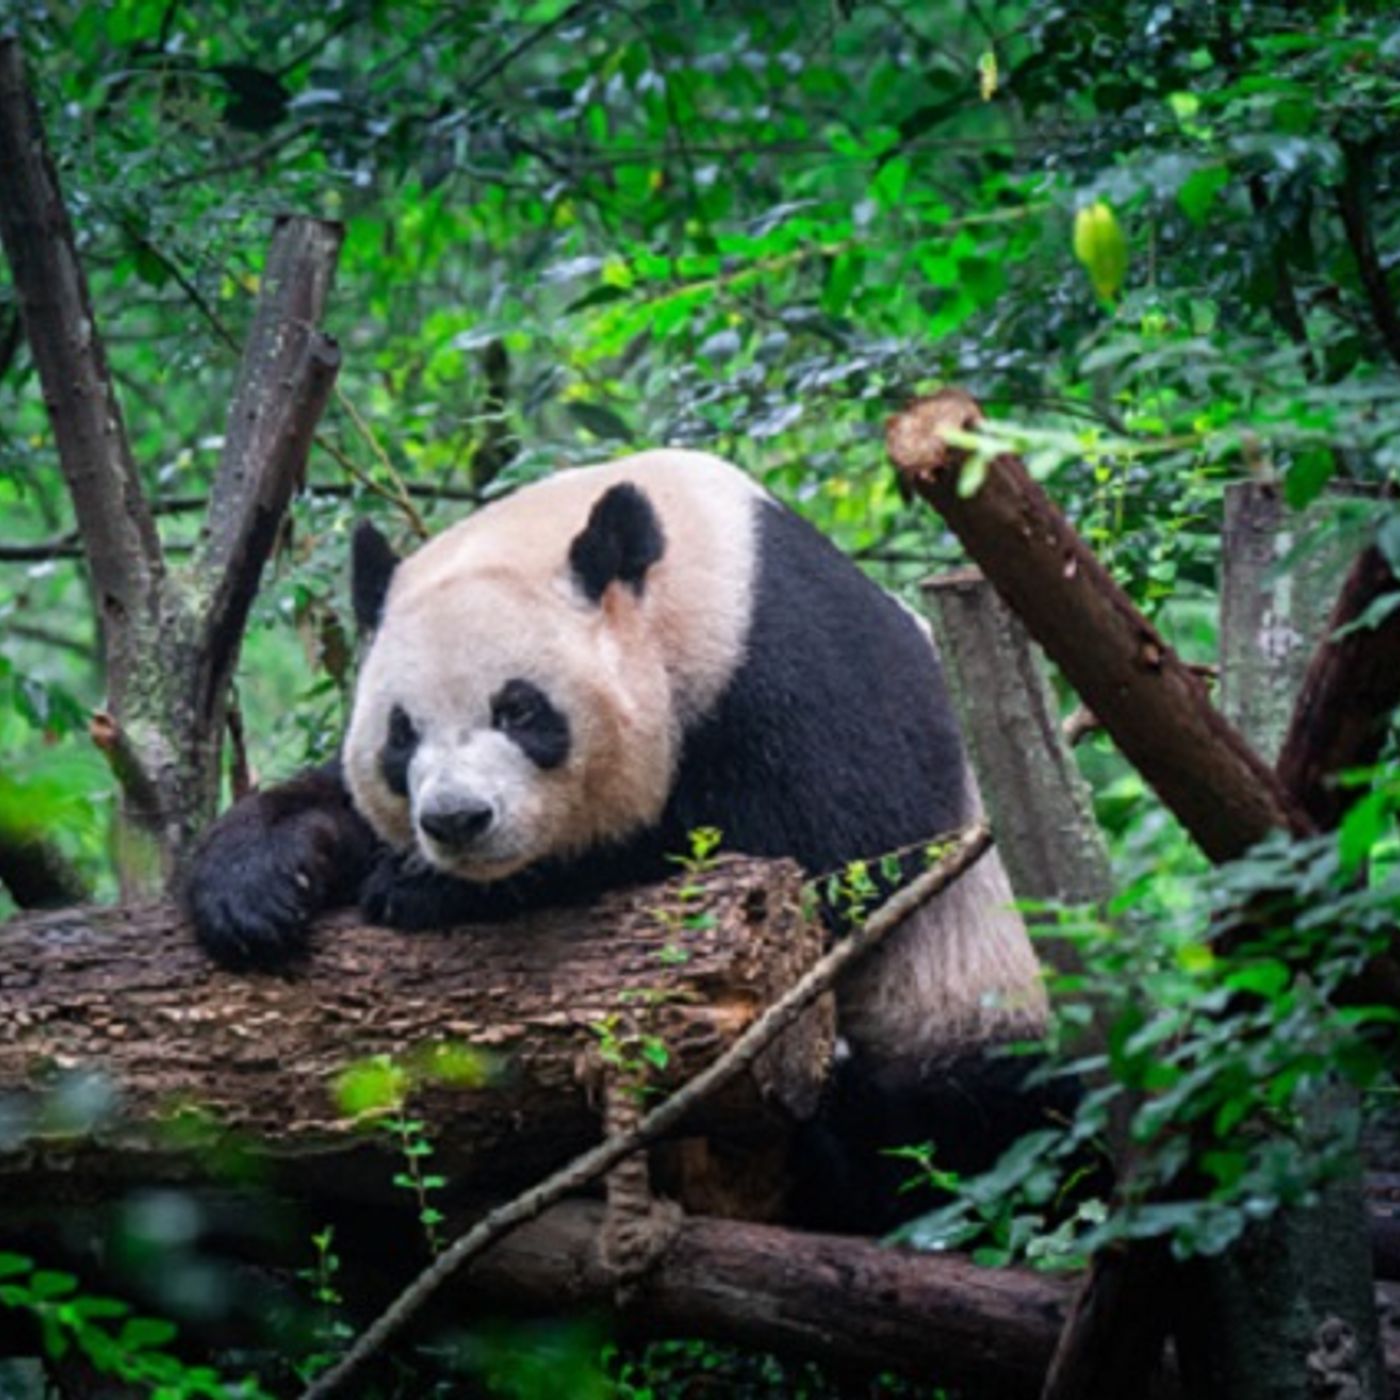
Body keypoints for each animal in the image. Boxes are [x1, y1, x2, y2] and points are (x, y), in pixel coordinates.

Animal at [184, 449, 1051, 1230]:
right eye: (401, 734)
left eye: (519, 710)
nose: (456, 821)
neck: (694, 583)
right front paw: (255, 885)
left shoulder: (800, 664)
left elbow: (825, 855)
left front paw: (426, 889)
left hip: (970, 1005)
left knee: (959, 1124)